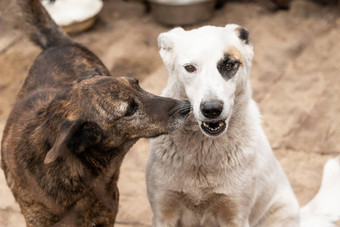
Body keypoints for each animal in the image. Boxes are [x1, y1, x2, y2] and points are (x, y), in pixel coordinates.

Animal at [145, 24, 340, 227]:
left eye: (229, 65)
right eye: (190, 68)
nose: (212, 109)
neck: (203, 152)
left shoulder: (235, 214)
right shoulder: (163, 212)